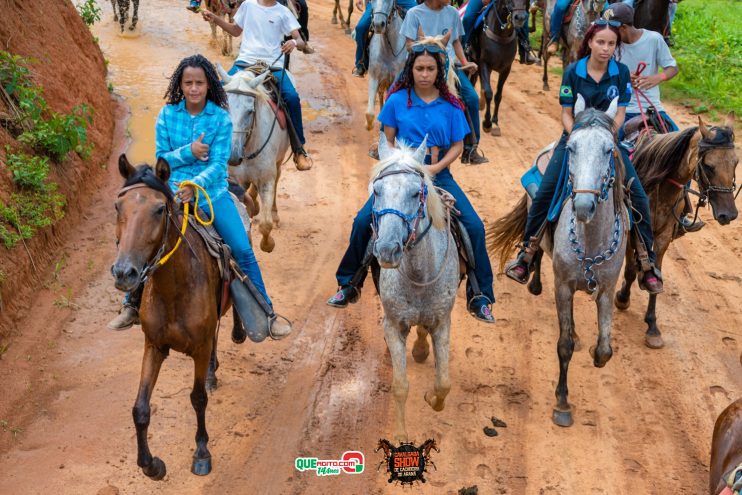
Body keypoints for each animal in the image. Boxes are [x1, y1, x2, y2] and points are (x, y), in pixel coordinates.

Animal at [112, 156, 248, 480]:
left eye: (159, 209)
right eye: (117, 206)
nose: (124, 273)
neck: (173, 289)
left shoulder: (197, 349)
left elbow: (197, 399)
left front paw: (201, 453)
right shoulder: (154, 346)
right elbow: (140, 408)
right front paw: (151, 465)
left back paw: (238, 333)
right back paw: (212, 372)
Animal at [218, 67, 290, 254]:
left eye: (250, 111)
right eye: (225, 108)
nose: (233, 156)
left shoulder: (267, 178)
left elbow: (265, 224)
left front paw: (267, 244)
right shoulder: (236, 180)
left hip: (278, 162)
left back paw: (274, 213)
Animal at [374, 136, 462, 442]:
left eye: (416, 193)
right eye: (376, 191)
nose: (387, 250)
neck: (418, 275)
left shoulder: (443, 322)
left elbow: (445, 382)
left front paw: (431, 399)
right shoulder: (393, 325)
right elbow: (400, 385)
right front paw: (401, 436)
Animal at [470, 0, 528, 136]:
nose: (520, 18)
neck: (501, 34)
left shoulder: (506, 69)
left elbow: (498, 95)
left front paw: (495, 121)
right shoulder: (484, 63)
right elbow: (489, 93)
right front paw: (487, 123)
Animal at [612, 114, 740, 350]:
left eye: (735, 163)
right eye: (708, 166)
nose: (729, 214)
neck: (660, 185)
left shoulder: (663, 237)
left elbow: (657, 271)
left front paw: (652, 327)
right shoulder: (635, 232)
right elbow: (631, 269)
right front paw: (623, 298)